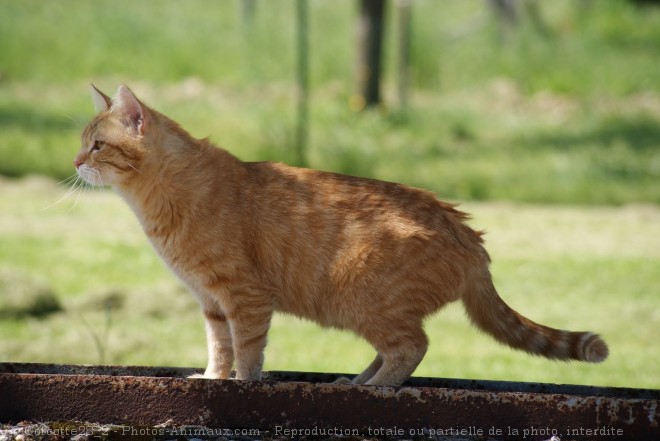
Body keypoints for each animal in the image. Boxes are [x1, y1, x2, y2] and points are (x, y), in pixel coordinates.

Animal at [76, 85, 608, 384]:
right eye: (83, 143)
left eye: (97, 145)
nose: (75, 162)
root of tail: (469, 235)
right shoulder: (211, 302)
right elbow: (219, 348)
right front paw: (210, 378)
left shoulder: (244, 297)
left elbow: (247, 351)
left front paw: (241, 384)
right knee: (395, 350)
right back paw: (351, 383)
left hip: (368, 304)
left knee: (411, 348)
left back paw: (373, 389)